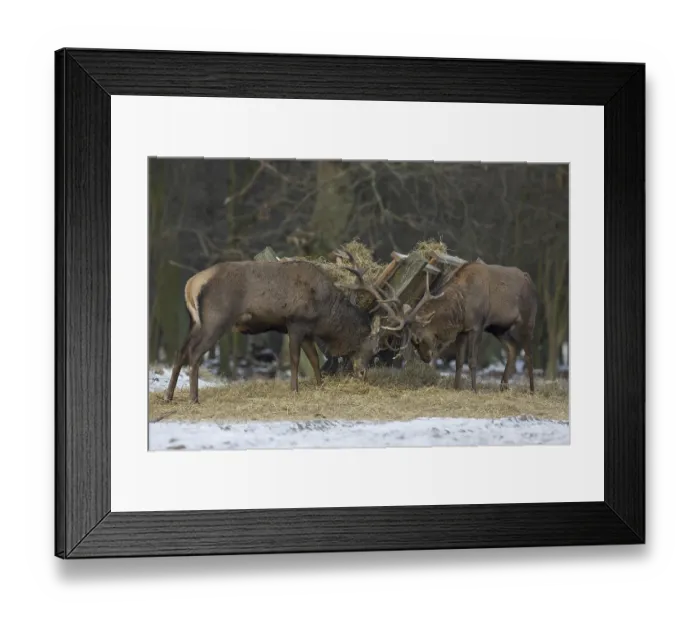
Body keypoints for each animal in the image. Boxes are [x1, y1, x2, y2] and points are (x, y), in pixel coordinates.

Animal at [163, 249, 405, 403]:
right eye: (371, 347)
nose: (363, 373)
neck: (324, 313)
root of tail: (191, 285)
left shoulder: (307, 330)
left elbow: (314, 359)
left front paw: (321, 385)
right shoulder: (295, 322)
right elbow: (296, 359)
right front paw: (294, 390)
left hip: (194, 322)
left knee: (180, 350)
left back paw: (168, 395)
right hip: (216, 319)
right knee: (194, 353)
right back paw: (193, 398)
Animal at [386, 260, 538, 393]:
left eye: (417, 338)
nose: (425, 358)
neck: (460, 309)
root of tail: (530, 281)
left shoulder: (477, 325)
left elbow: (472, 360)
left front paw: (474, 389)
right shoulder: (462, 331)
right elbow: (459, 361)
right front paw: (456, 387)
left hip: (527, 320)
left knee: (528, 354)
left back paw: (531, 390)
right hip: (498, 328)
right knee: (512, 347)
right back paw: (503, 386)